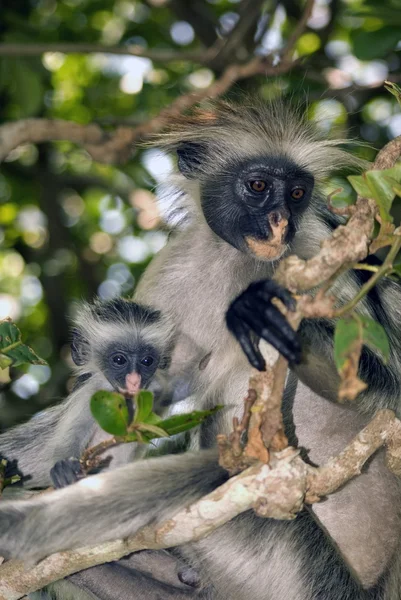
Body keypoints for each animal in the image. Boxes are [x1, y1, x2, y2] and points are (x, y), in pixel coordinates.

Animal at [0, 99, 400, 600]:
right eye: (258, 186)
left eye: (297, 194)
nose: (280, 222)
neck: (238, 261)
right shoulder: (172, 272)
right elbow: (148, 395)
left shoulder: (322, 249)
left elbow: (389, 394)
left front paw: (279, 319)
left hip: (288, 552)